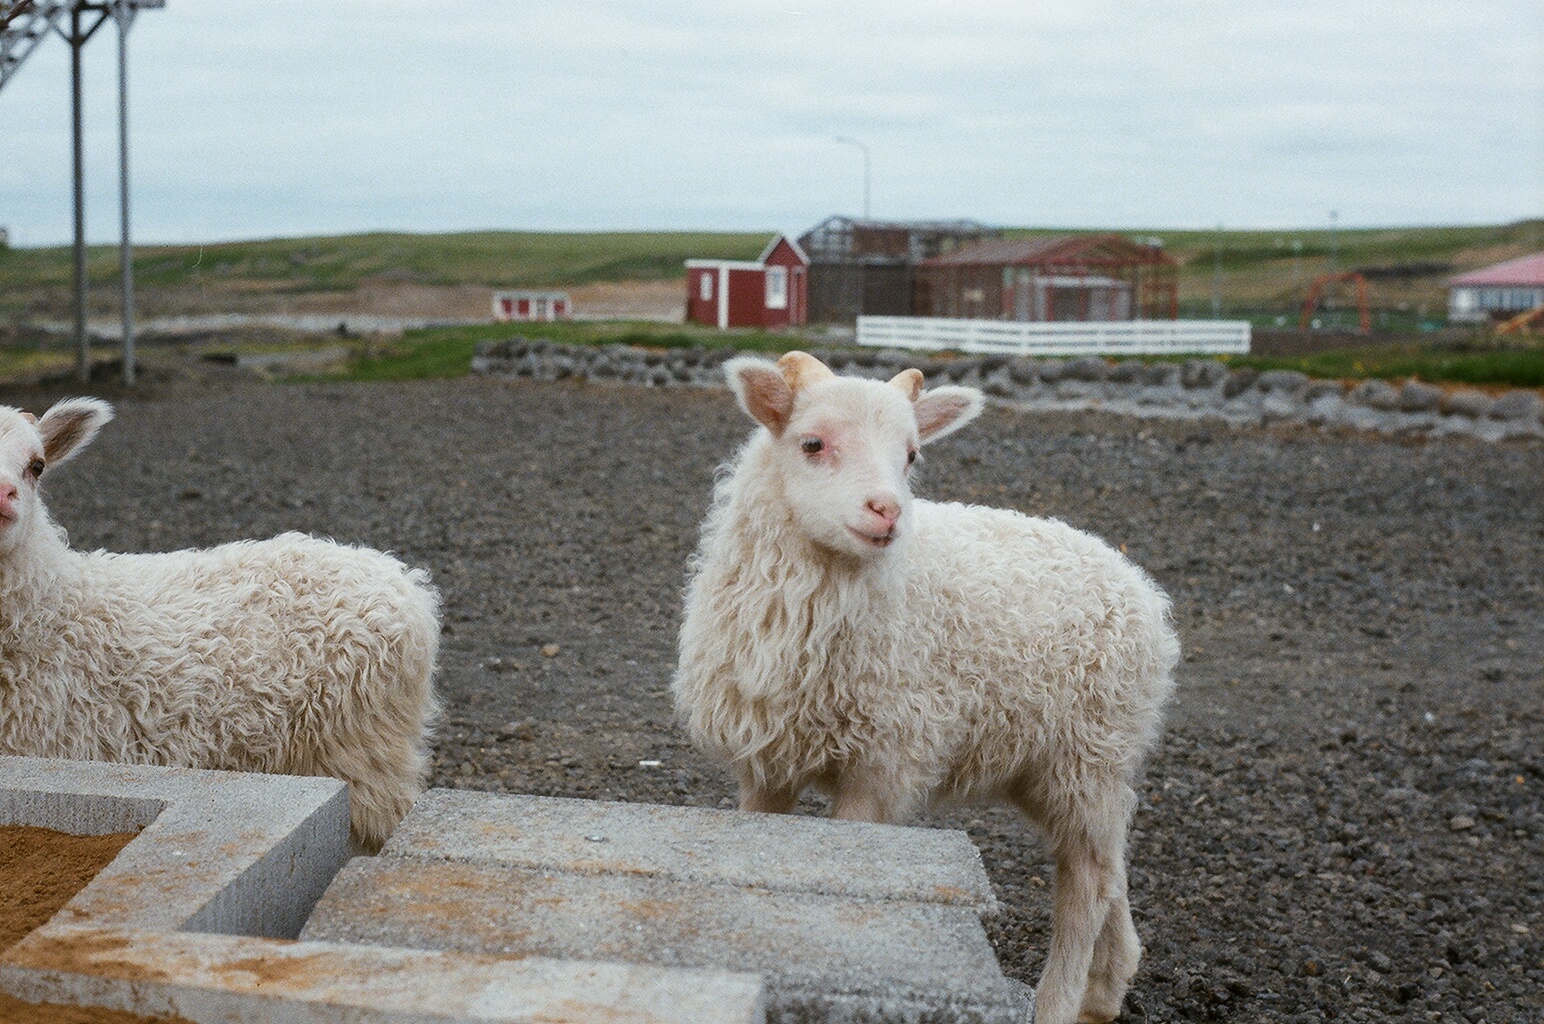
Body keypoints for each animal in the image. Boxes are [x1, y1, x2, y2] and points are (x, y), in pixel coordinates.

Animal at [673, 352, 1180, 1024]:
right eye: (812, 443)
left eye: (911, 454)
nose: (887, 511)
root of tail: (1138, 584)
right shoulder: (767, 761)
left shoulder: (881, 764)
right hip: (1050, 762)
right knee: (1111, 854)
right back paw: (1107, 989)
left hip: (1087, 751)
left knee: (1089, 880)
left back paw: (1061, 1000)